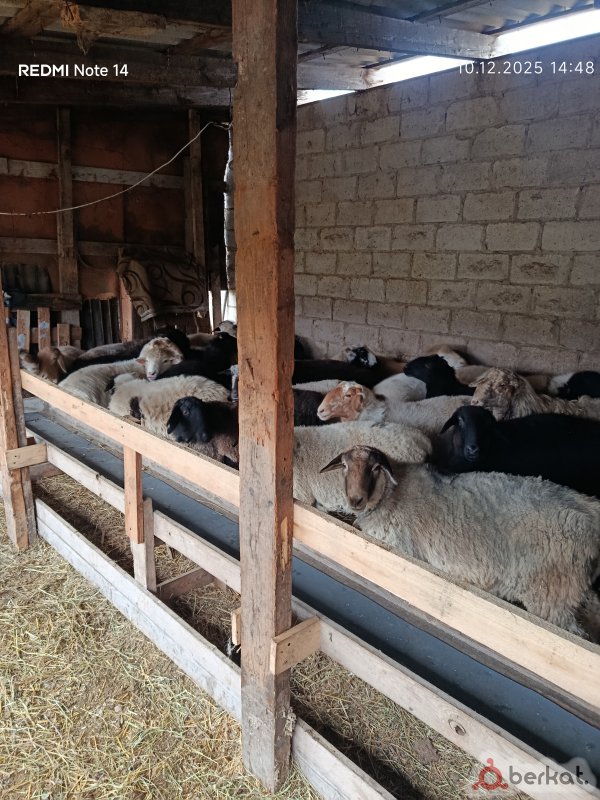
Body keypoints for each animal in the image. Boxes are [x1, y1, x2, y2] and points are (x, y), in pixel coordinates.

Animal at [320, 445, 600, 638]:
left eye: (375, 468)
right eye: (345, 467)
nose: (355, 500)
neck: (390, 494)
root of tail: (590, 515)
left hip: (551, 594)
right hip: (576, 590)